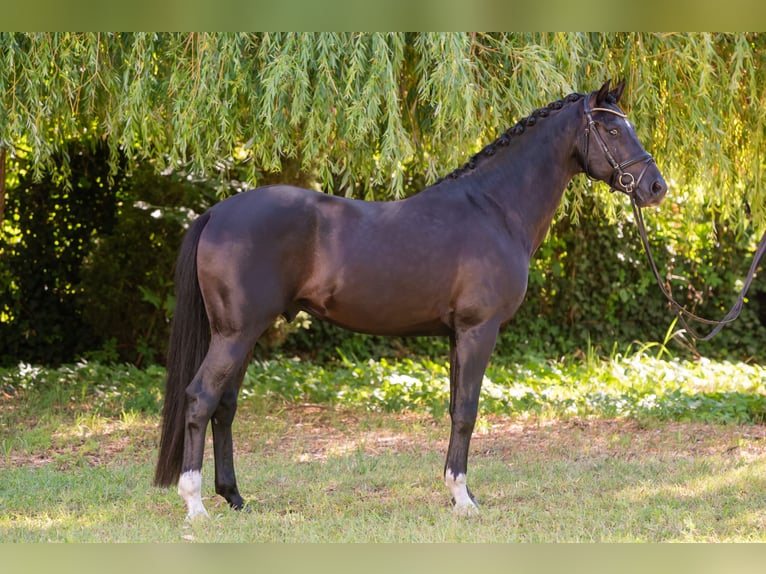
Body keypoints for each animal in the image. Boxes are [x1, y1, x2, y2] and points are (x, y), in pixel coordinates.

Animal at [154, 80, 667, 519]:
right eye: (612, 129)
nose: (656, 187)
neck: (494, 209)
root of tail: (217, 214)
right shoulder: (478, 330)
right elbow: (467, 413)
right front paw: (463, 499)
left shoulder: (457, 334)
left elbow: (455, 409)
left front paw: (459, 492)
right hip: (235, 334)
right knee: (201, 399)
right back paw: (196, 505)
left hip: (245, 334)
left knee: (224, 406)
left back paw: (234, 497)